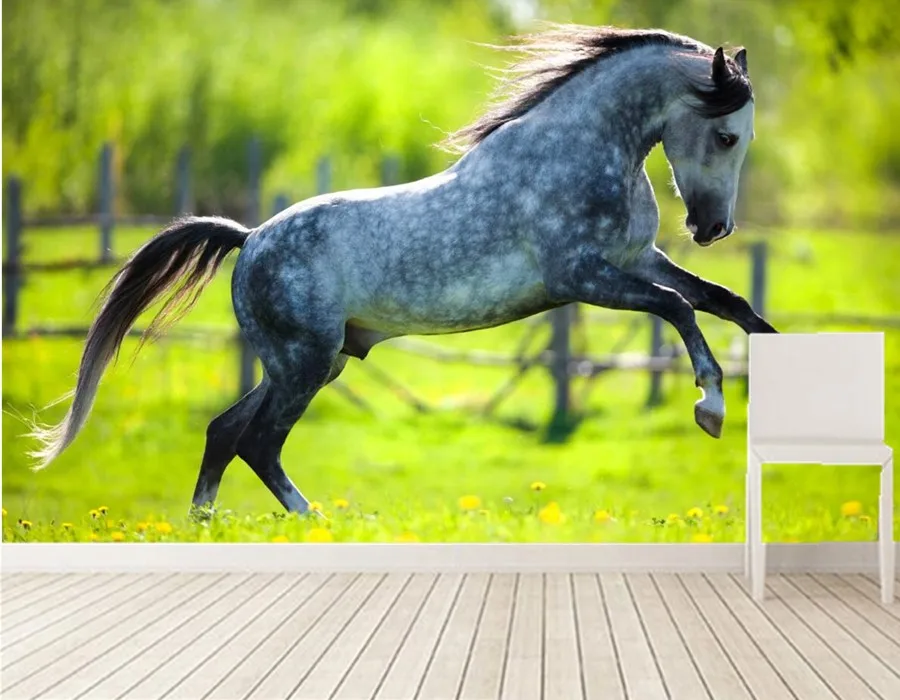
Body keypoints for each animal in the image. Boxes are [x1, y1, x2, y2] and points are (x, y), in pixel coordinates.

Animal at [28, 25, 777, 514]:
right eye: (726, 135)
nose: (712, 229)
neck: (584, 151)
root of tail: (250, 240)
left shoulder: (635, 260)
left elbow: (726, 302)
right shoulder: (583, 278)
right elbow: (678, 308)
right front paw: (710, 408)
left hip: (309, 363)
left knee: (224, 432)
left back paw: (207, 527)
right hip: (304, 364)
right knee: (259, 443)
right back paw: (315, 523)